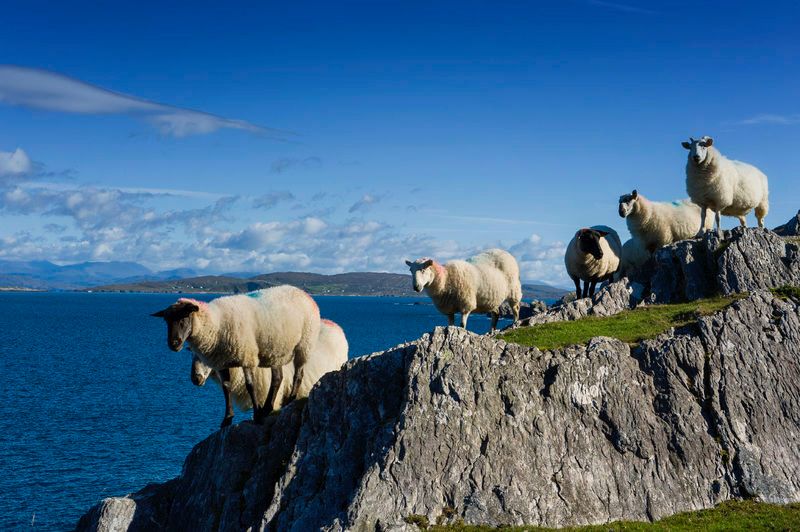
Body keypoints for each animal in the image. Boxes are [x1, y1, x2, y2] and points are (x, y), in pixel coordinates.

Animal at [152, 284, 320, 426]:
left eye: (185, 317)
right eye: (166, 320)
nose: (174, 344)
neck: (216, 324)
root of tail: (303, 292)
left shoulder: (247, 356)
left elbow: (250, 385)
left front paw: (256, 415)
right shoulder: (221, 362)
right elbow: (226, 388)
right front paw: (227, 419)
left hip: (304, 344)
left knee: (298, 374)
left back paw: (289, 401)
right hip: (276, 350)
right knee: (278, 378)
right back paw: (267, 408)